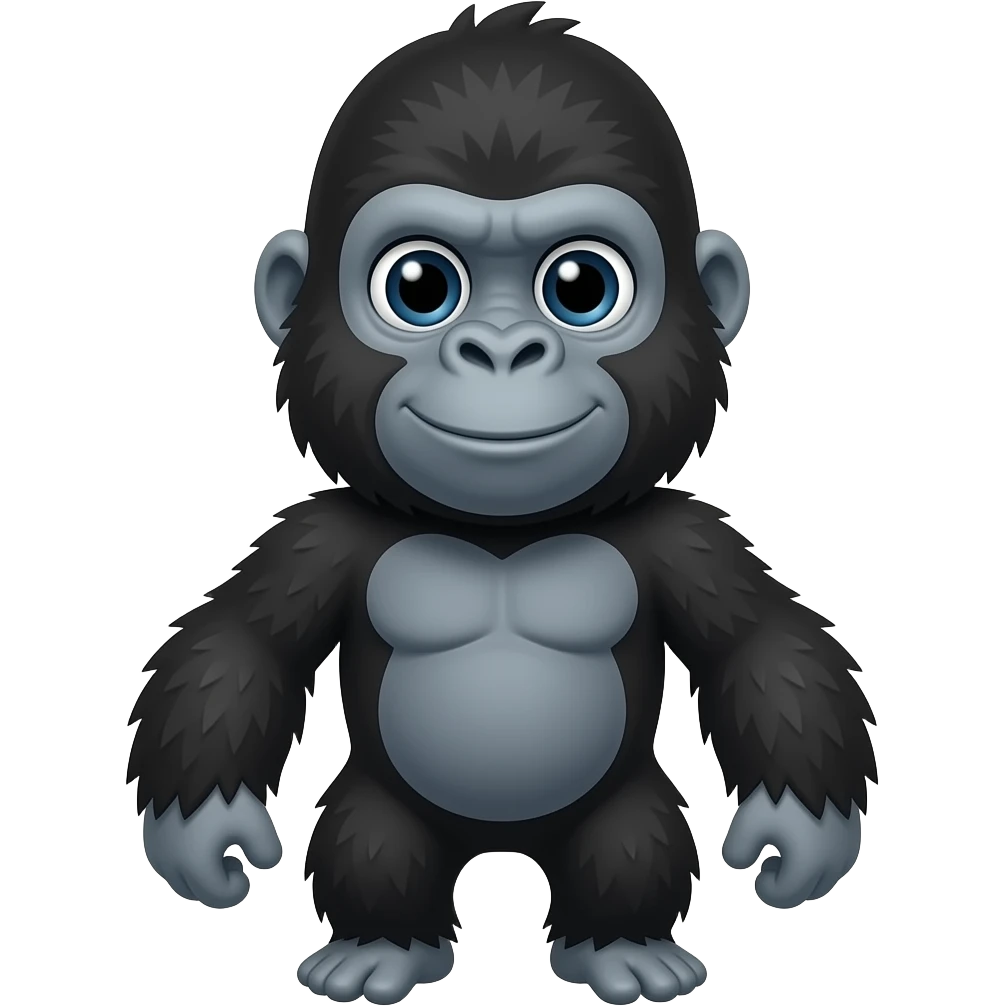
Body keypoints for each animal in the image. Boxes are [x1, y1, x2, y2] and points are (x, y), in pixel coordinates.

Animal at [125, 4, 879, 1004]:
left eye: (581, 287)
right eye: (419, 287)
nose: (502, 350)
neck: (501, 535)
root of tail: (500, 849)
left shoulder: (685, 536)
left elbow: (759, 645)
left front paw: (803, 832)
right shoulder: (320, 535)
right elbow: (243, 645)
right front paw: (201, 833)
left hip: (619, 809)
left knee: (631, 846)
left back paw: (620, 947)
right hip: (384, 811)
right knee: (373, 846)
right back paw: (384, 947)